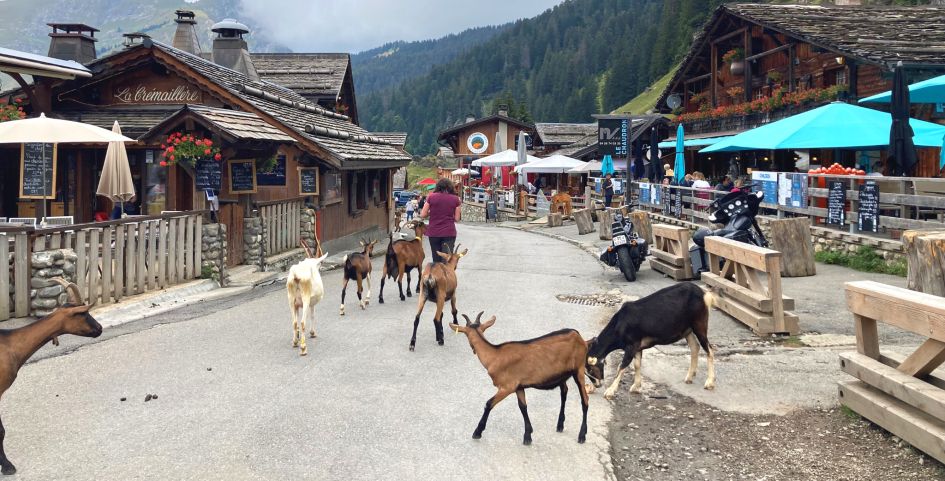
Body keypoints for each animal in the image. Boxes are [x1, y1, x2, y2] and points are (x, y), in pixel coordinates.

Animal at [452, 314, 592, 444]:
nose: (473, 349)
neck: (494, 356)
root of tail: (578, 335)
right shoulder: (519, 386)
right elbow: (523, 407)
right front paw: (528, 435)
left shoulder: (507, 387)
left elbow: (489, 404)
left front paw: (477, 432)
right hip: (563, 374)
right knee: (564, 392)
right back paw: (560, 424)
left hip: (579, 369)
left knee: (584, 400)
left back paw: (582, 435)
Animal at [584, 282, 716, 398]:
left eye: (590, 369)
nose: (597, 385)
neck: (620, 324)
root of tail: (703, 293)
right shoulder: (637, 346)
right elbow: (637, 364)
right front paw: (636, 386)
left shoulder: (631, 345)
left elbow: (622, 366)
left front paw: (610, 391)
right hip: (687, 330)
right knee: (695, 347)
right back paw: (689, 377)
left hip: (699, 323)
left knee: (709, 349)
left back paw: (709, 382)